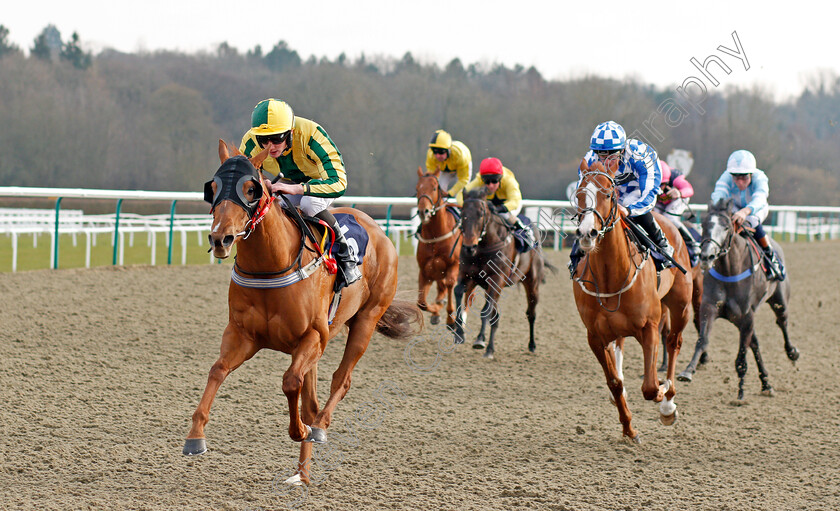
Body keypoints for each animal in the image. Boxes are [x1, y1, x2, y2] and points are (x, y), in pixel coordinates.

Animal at [184, 141, 420, 488]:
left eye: (251, 189)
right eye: (212, 188)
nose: (220, 238)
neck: (270, 266)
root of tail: (378, 229)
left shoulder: (313, 336)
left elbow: (290, 382)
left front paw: (302, 431)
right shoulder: (242, 335)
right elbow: (217, 370)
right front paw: (195, 437)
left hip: (366, 319)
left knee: (340, 381)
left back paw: (319, 428)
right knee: (311, 401)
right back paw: (302, 474)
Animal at [412, 168, 460, 328]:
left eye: (434, 188)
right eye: (417, 188)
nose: (423, 211)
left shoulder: (454, 264)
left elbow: (450, 284)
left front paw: (451, 318)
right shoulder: (425, 270)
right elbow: (422, 303)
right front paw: (436, 310)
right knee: (441, 287)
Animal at [450, 188, 548, 360]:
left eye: (480, 214)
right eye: (462, 213)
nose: (469, 246)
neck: (484, 246)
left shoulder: (497, 280)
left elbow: (487, 311)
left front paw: (483, 344)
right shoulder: (467, 275)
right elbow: (458, 293)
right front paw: (459, 334)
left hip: (532, 282)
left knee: (531, 313)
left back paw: (531, 345)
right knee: (493, 314)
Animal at [572, 161, 696, 444]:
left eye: (608, 194)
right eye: (579, 194)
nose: (587, 233)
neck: (611, 277)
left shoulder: (649, 326)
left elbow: (650, 386)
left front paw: (662, 391)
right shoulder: (594, 336)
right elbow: (615, 383)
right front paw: (629, 429)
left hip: (681, 305)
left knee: (674, 342)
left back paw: (668, 403)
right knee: (620, 348)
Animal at [676, 198, 800, 402]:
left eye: (726, 226)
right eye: (703, 225)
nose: (707, 256)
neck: (729, 271)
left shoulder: (746, 316)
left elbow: (741, 357)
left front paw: (741, 392)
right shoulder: (710, 308)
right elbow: (703, 340)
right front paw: (688, 370)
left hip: (779, 300)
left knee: (782, 322)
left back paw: (791, 353)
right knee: (755, 343)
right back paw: (766, 383)